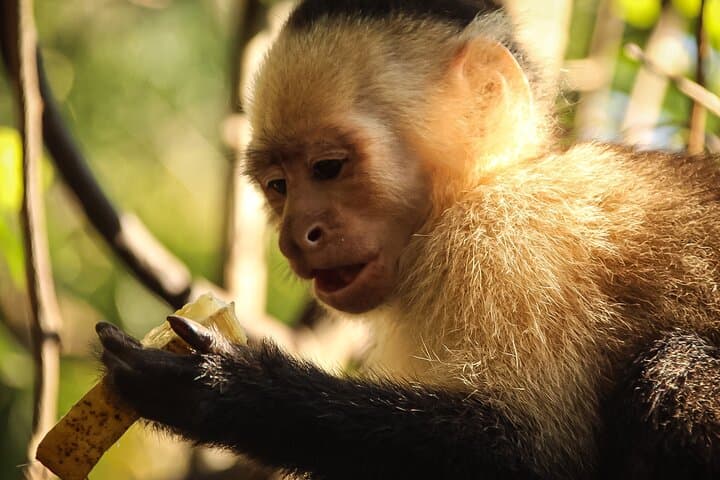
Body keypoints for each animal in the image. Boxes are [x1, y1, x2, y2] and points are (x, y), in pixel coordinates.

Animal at [96, 0, 720, 478]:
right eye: (278, 186)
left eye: (328, 168)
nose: (297, 238)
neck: (488, 183)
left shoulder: (508, 236)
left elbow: (529, 451)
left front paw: (224, 390)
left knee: (673, 376)